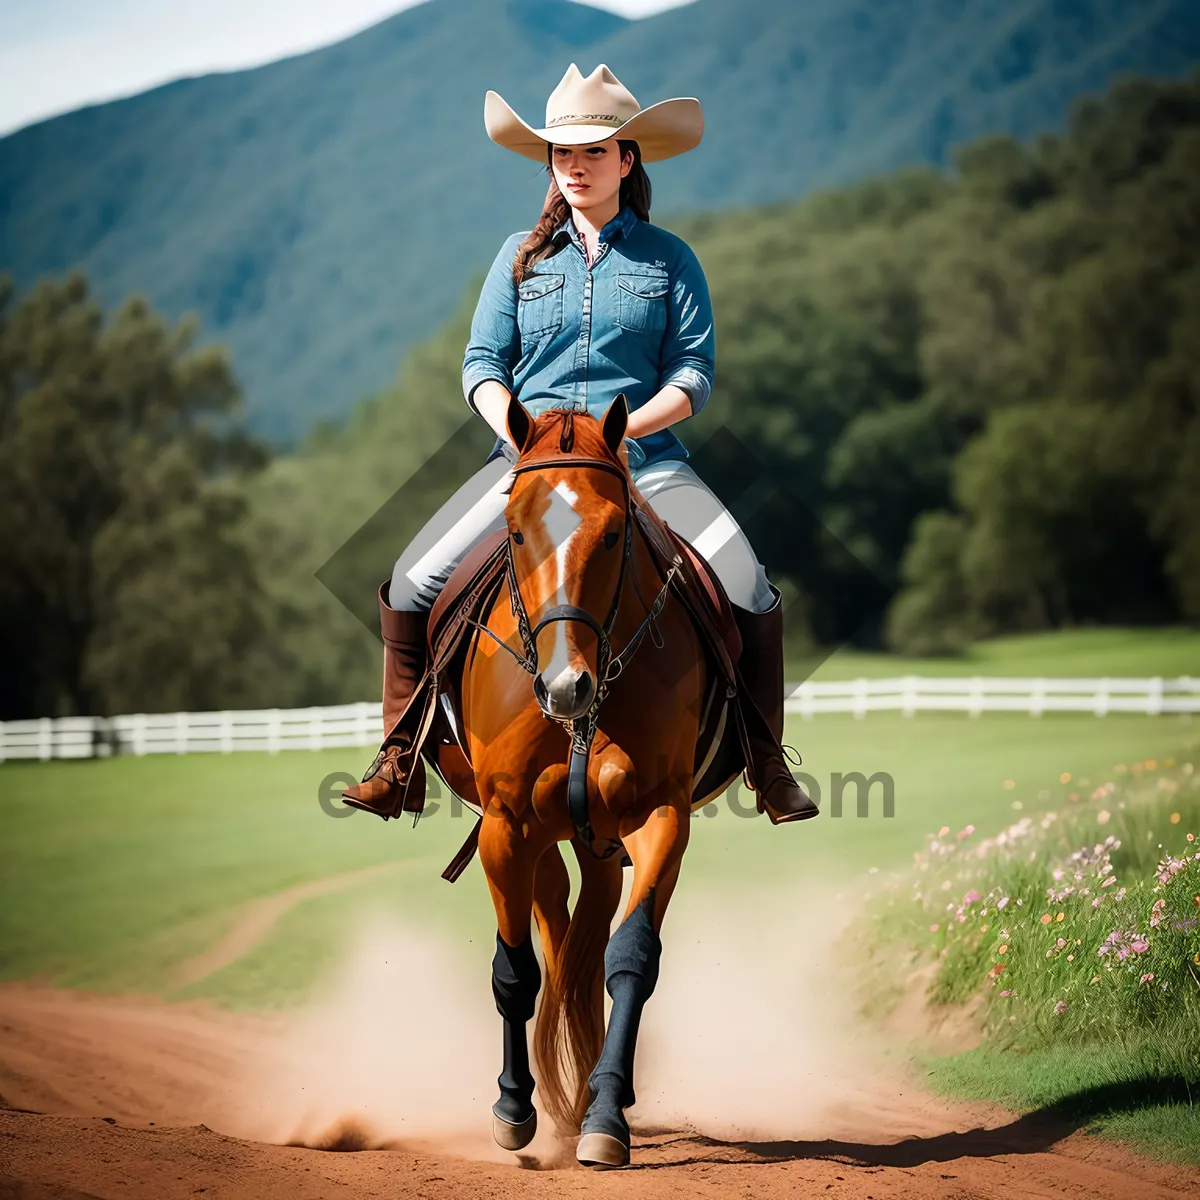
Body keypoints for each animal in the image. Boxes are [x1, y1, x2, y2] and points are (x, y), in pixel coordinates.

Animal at [458, 398, 700, 1166]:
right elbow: (516, 971)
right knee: (557, 934)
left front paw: (604, 1116)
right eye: (513, 529)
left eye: (615, 529)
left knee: (584, 946)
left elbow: (631, 959)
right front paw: (513, 1107)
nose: (565, 687)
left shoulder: (660, 816)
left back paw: (588, 1089)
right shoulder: (505, 827)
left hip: (598, 841)